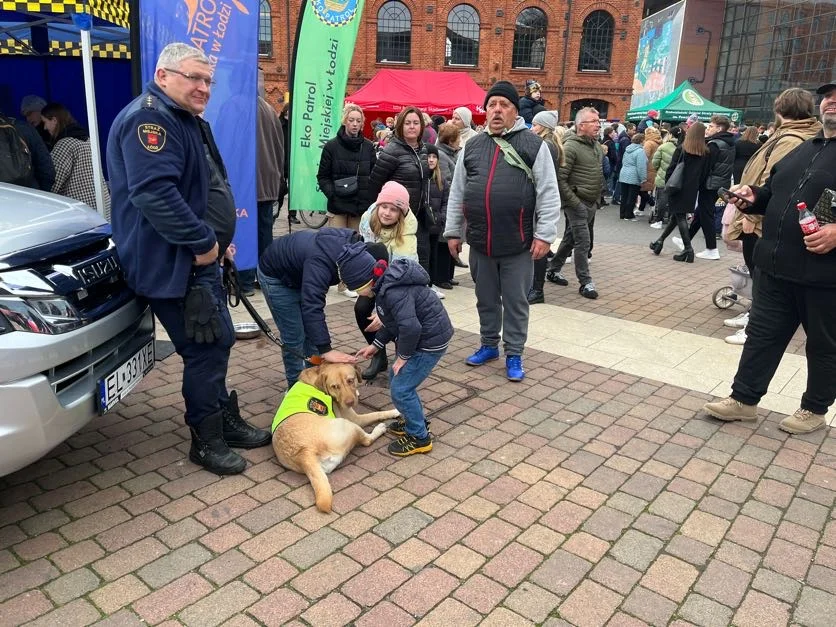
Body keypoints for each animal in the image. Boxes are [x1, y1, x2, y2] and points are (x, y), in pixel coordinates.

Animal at [268, 364, 398, 516]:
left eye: (350, 380)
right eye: (334, 386)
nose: (350, 402)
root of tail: (303, 452)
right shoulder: (354, 418)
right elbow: (377, 413)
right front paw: (394, 411)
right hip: (347, 424)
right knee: (366, 440)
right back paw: (379, 428)